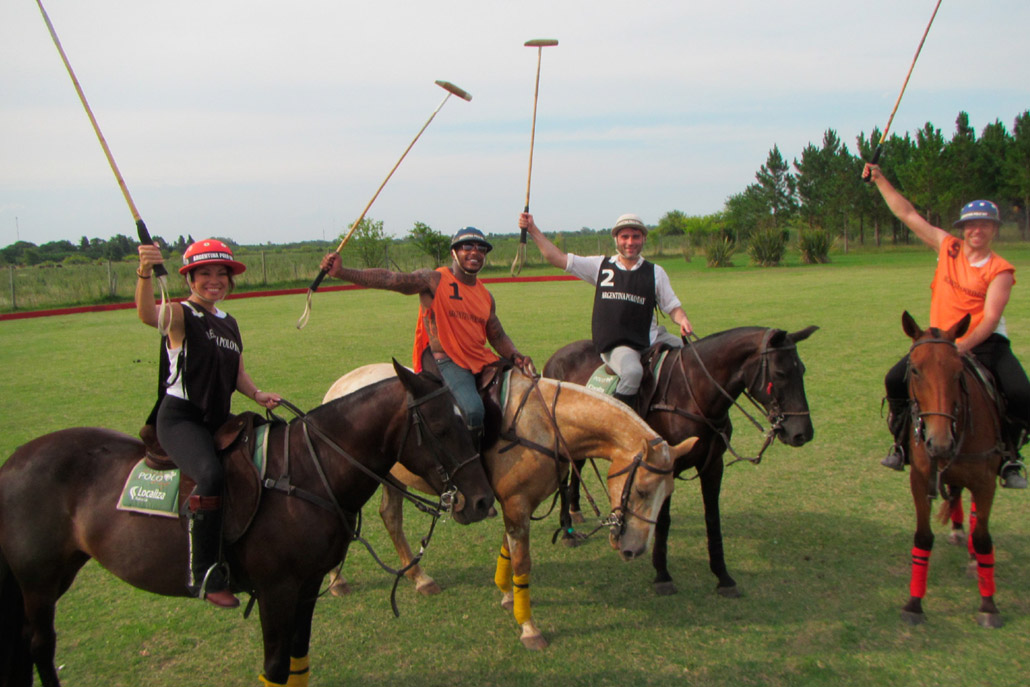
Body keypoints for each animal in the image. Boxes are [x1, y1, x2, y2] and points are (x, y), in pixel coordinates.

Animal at [0, 362, 494, 683]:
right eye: (441, 427)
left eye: (469, 421)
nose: (482, 501)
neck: (308, 472)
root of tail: (12, 462)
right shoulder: (276, 589)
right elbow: (274, 668)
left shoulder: (307, 584)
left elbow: (298, 658)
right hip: (38, 579)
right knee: (39, 645)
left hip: (55, 573)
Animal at [321, 364, 696, 650]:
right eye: (643, 490)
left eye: (668, 492)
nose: (634, 550)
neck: (546, 424)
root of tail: (338, 385)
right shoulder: (515, 503)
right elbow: (522, 561)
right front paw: (529, 627)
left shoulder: (518, 503)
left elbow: (507, 551)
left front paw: (506, 595)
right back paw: (337, 580)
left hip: (390, 477)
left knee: (391, 517)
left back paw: (419, 578)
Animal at [543, 325, 815, 597]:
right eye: (780, 373)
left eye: (802, 369)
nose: (802, 433)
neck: (693, 395)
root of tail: (556, 355)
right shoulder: (663, 466)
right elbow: (663, 520)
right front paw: (662, 575)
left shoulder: (713, 465)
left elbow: (712, 518)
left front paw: (723, 577)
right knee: (563, 478)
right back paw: (567, 531)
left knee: (576, 468)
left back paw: (576, 511)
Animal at [902, 311, 1005, 630]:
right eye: (915, 371)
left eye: (958, 373)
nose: (939, 442)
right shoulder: (920, 479)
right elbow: (922, 537)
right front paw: (914, 604)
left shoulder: (986, 482)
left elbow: (983, 539)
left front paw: (988, 606)